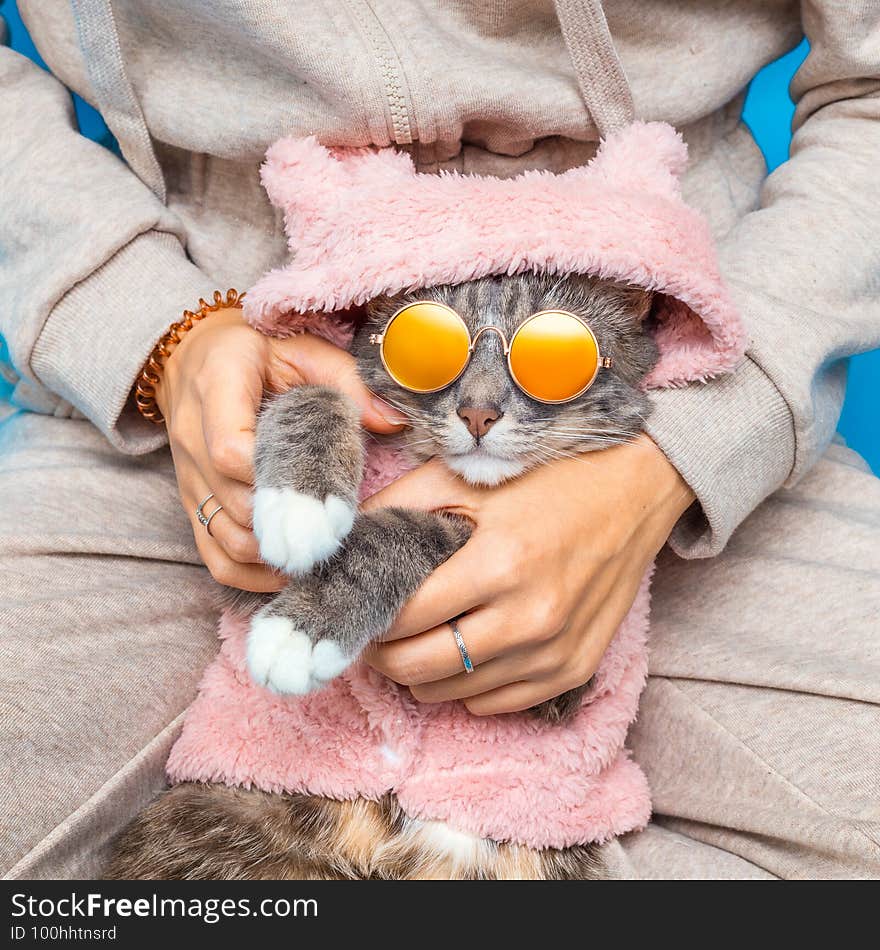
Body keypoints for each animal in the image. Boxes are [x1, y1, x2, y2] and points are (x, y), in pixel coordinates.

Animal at [110, 272, 656, 880]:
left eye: (555, 360)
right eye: (422, 349)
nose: (478, 414)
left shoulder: (562, 683)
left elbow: (421, 528)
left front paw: (303, 629)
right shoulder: (243, 567)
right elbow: (321, 395)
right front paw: (302, 500)